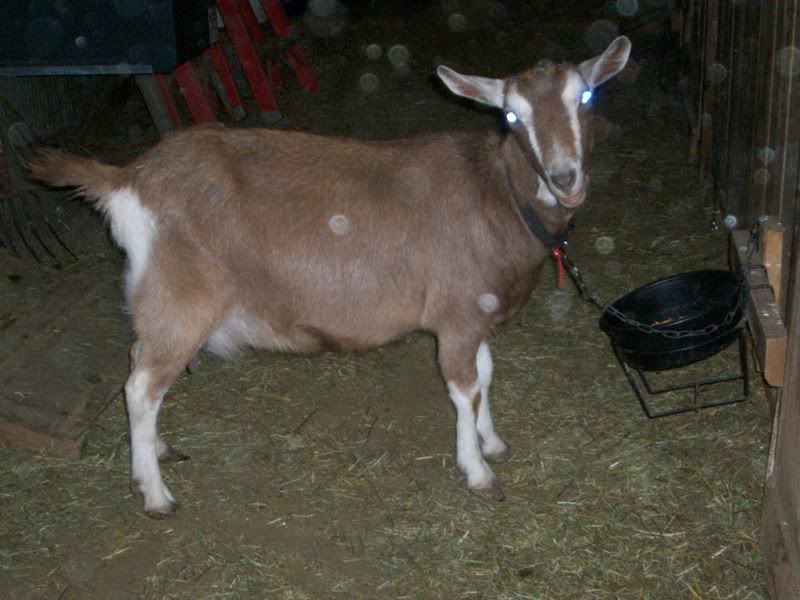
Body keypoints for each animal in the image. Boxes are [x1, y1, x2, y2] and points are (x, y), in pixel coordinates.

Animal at [30, 36, 631, 518]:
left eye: (586, 98)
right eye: (510, 117)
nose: (564, 177)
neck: (499, 194)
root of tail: (131, 178)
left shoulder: (476, 312)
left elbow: (485, 375)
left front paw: (493, 443)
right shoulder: (457, 312)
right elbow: (463, 388)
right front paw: (478, 471)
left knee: (141, 372)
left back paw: (153, 452)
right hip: (182, 298)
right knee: (140, 386)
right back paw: (155, 494)